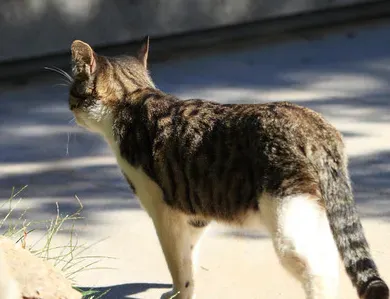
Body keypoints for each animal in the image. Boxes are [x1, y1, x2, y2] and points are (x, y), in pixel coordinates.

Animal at [67, 38, 386, 298]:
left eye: (71, 92)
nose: (69, 108)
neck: (132, 98)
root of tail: (315, 125)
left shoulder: (164, 212)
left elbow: (177, 265)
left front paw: (180, 293)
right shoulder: (194, 212)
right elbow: (189, 257)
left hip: (288, 221)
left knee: (318, 270)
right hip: (313, 212)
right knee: (331, 256)